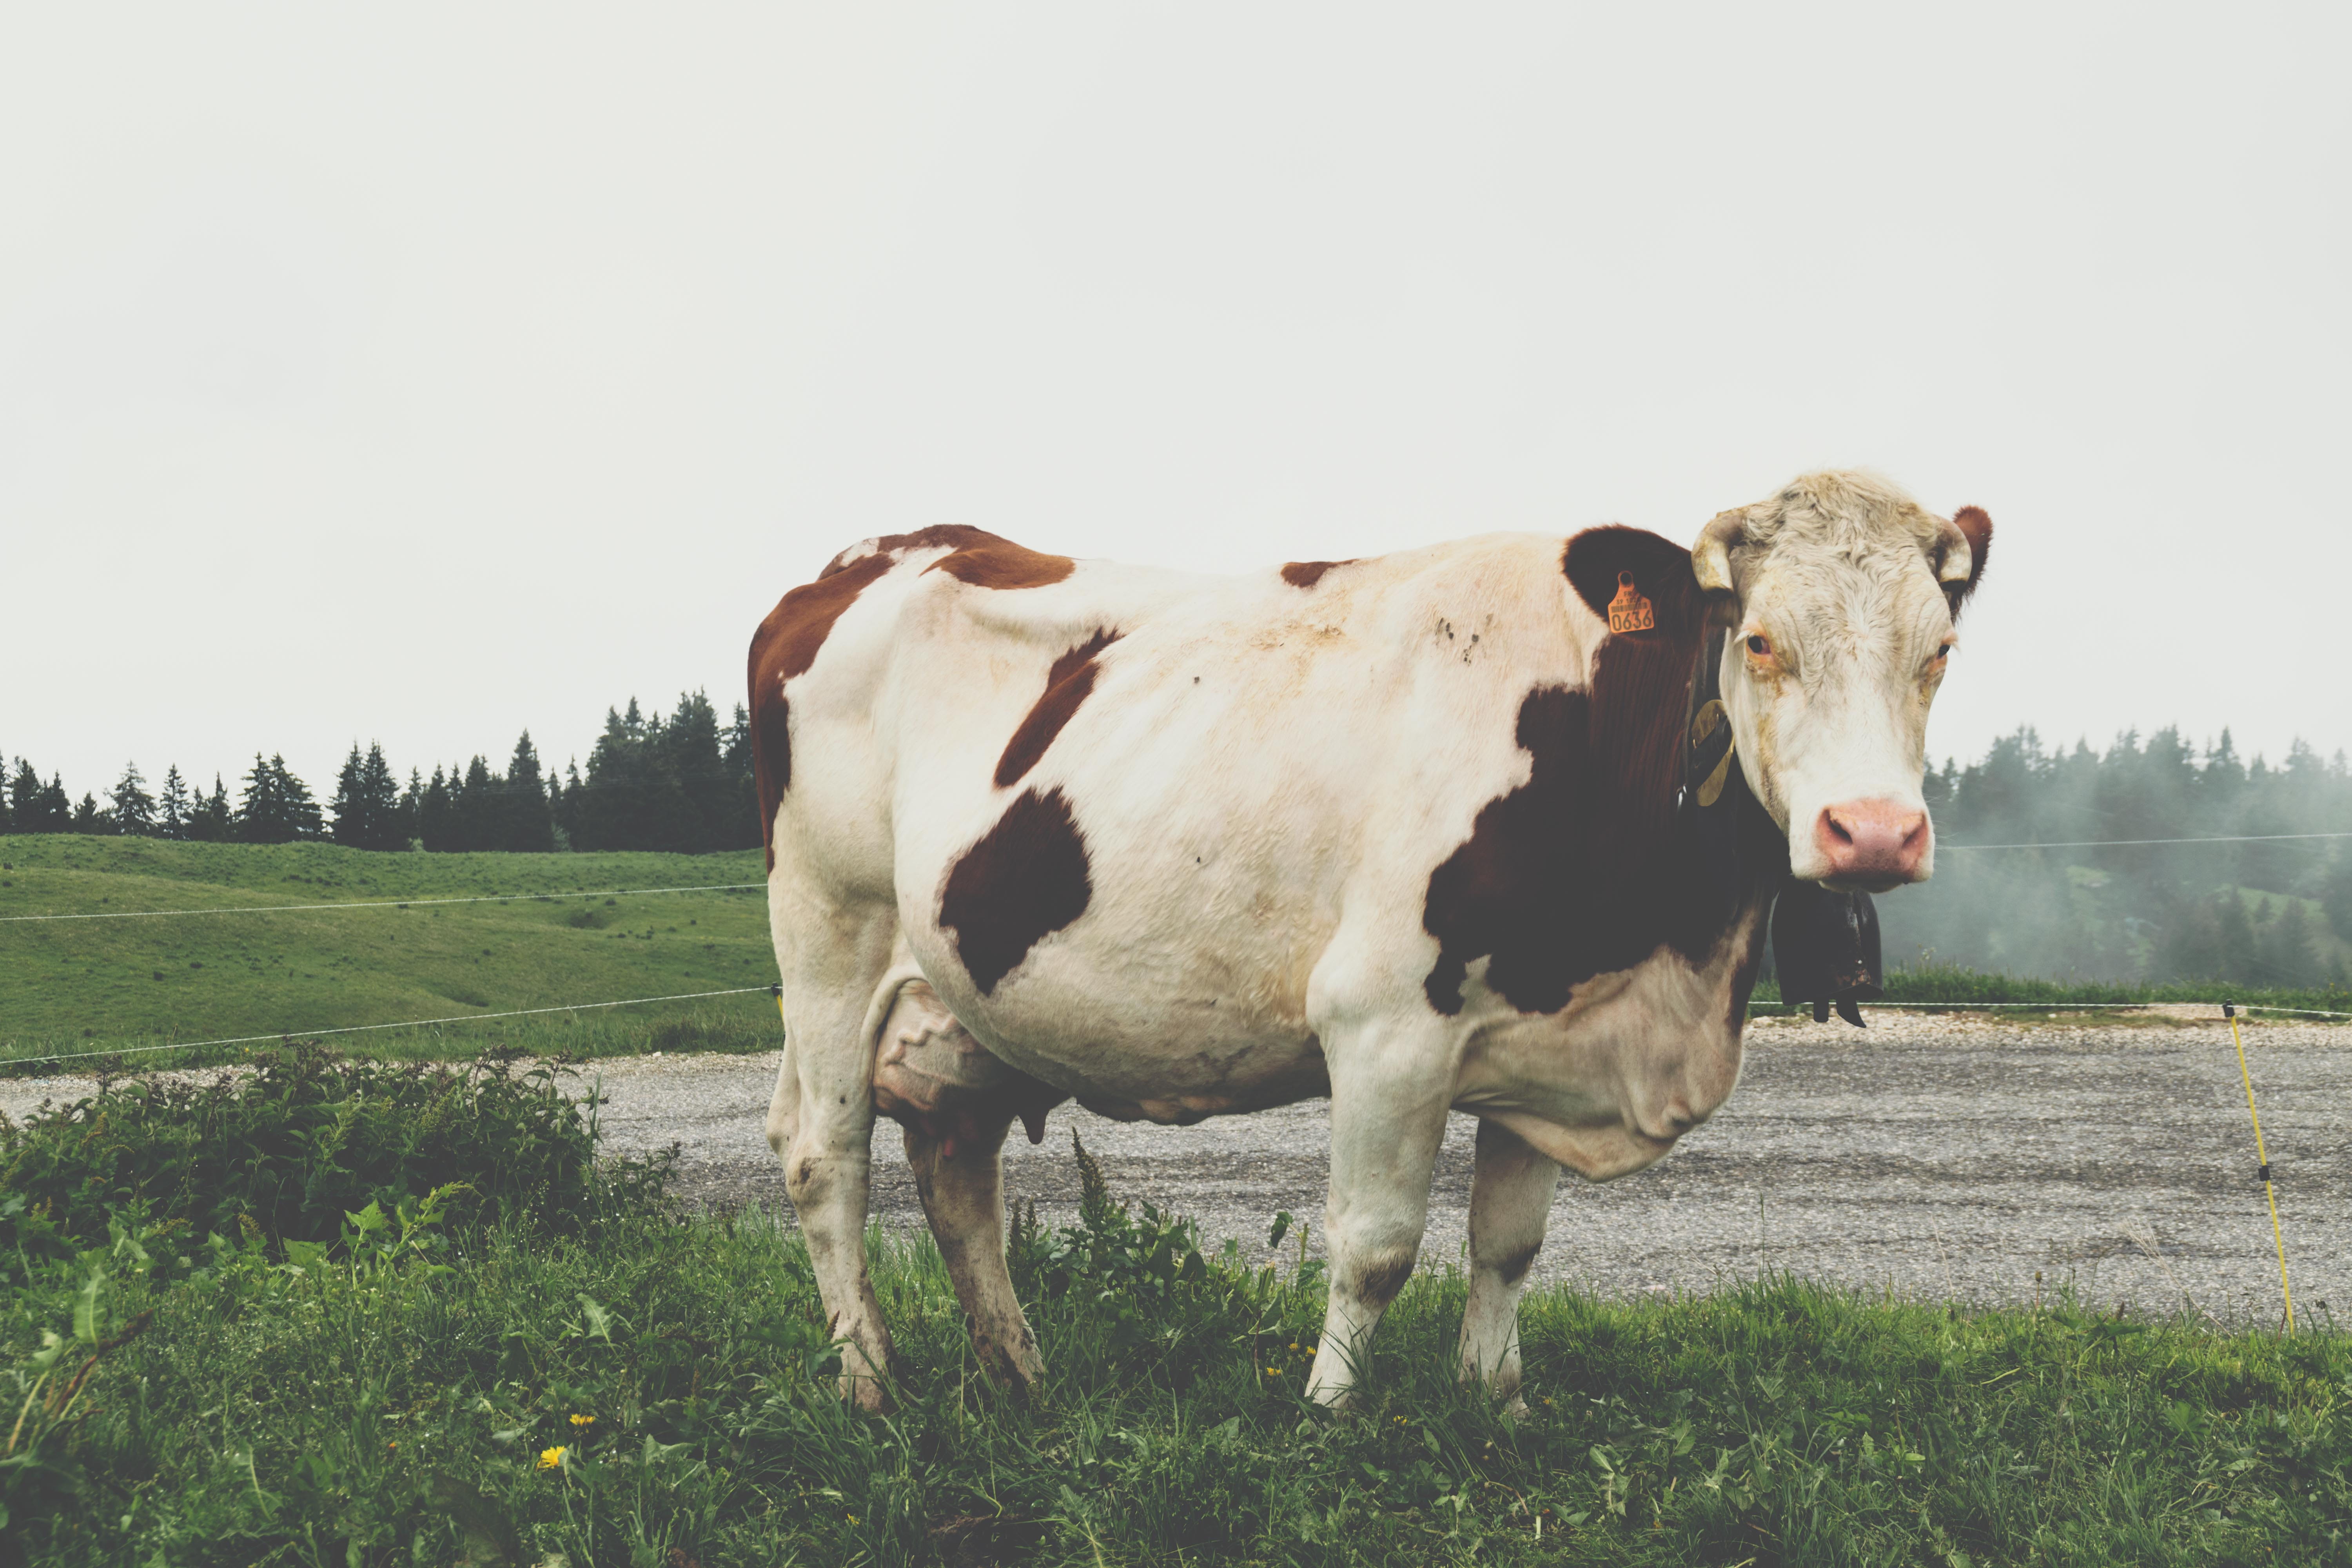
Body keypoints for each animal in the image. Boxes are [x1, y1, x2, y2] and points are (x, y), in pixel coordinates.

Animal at [750, 470, 1991, 1410]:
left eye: (1939, 651)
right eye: (1765, 642)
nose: (1872, 831)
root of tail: (876, 554)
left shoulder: (1547, 1021)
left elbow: (1508, 1244)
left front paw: (1497, 1405)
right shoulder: (1386, 1024)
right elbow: (1378, 1244)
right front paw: (1329, 1417)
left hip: (956, 998)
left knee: (958, 1170)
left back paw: (1019, 1376)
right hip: (828, 937)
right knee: (824, 1156)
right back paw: (869, 1383)